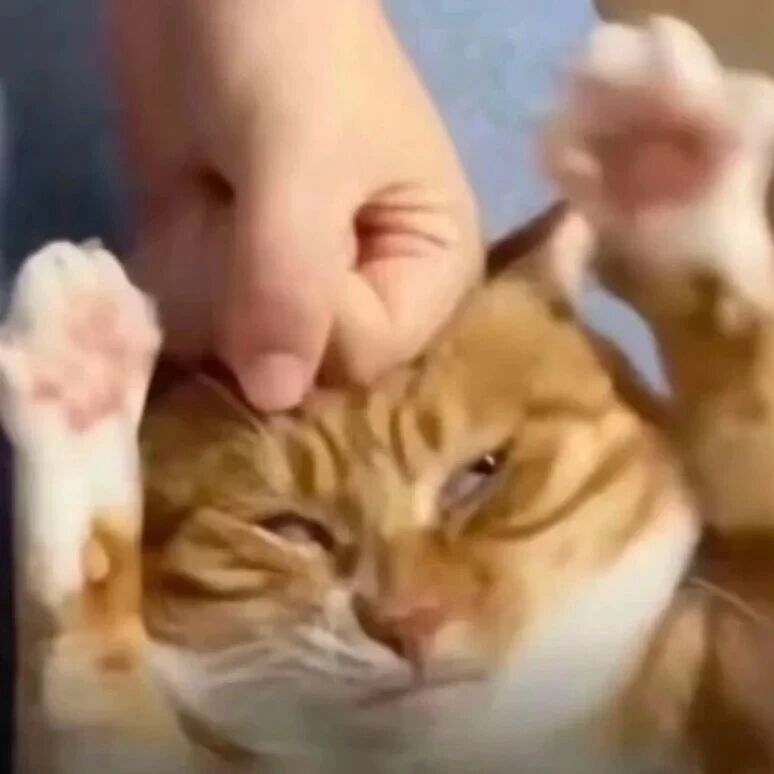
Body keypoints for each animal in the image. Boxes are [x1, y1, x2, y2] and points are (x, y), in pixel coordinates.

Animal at [5, 15, 774, 774]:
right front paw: (81, 374)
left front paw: (664, 164)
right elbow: (91, 666)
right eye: (290, 528)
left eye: (480, 474)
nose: (409, 623)